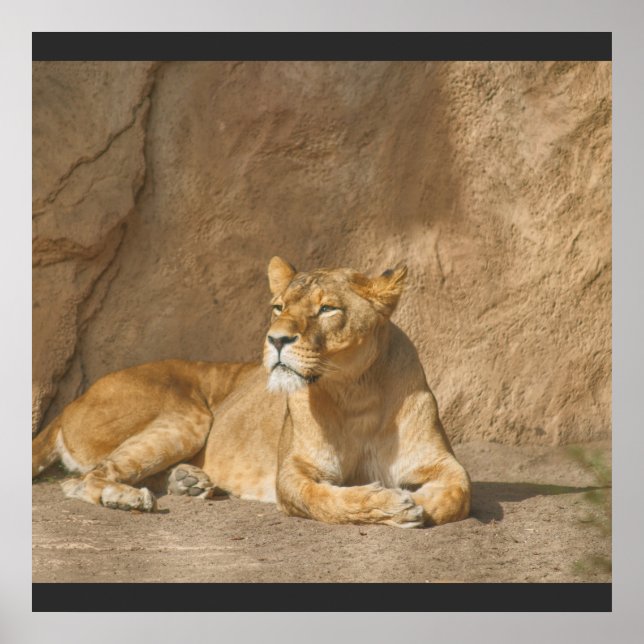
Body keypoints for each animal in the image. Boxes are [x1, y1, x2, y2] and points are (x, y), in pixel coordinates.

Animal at [32, 257, 470, 528]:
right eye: (278, 307)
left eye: (327, 309)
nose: (276, 339)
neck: (354, 393)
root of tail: (71, 404)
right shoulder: (291, 473)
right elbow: (326, 501)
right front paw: (389, 505)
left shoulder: (442, 463)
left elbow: (459, 492)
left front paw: (418, 504)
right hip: (188, 417)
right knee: (82, 480)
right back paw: (126, 498)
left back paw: (188, 481)